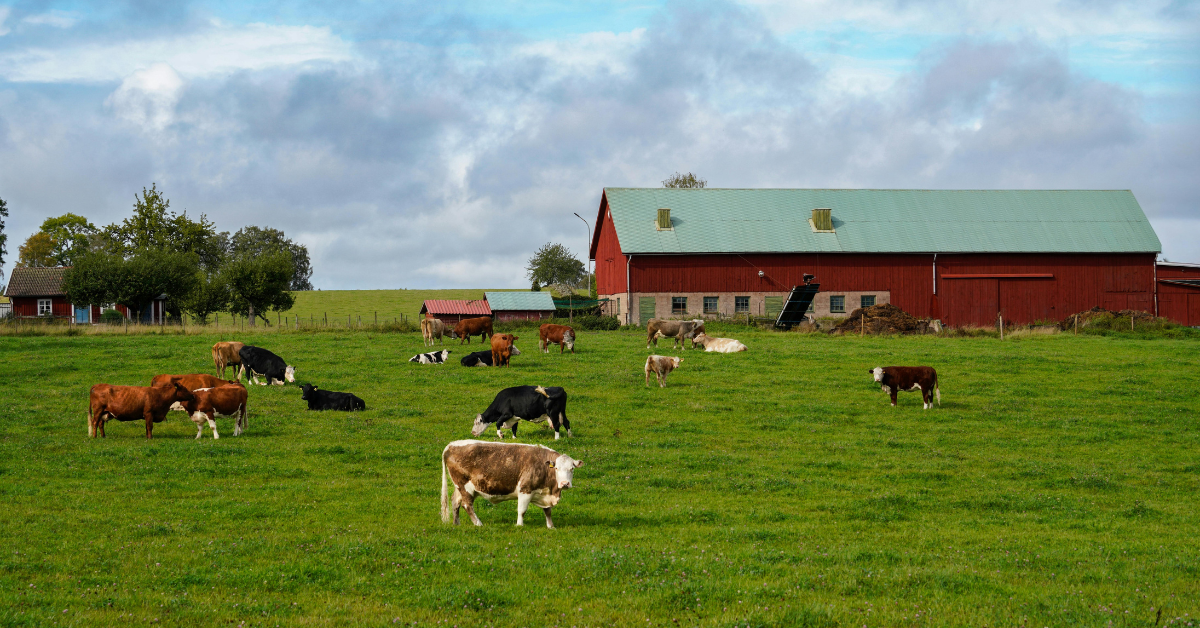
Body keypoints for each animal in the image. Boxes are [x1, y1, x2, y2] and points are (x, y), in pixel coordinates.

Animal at [440, 440, 583, 528]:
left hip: (460, 487)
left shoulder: (545, 493)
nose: (565, 483)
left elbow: (547, 511)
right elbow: (522, 510)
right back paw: (478, 524)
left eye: (572, 468)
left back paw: (456, 523)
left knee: (455, 501)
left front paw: (551, 526)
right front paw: (519, 525)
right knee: (467, 505)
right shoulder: (525, 489)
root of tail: (451, 445)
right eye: (557, 468)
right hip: (464, 486)